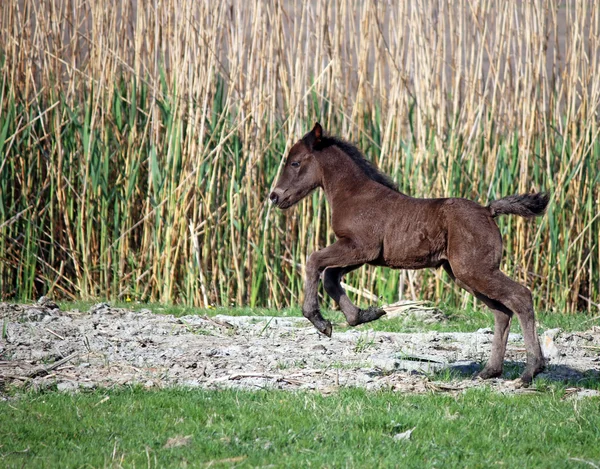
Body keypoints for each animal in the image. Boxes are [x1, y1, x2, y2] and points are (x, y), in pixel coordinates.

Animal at [270, 121, 548, 384]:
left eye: (295, 162)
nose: (274, 196)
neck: (353, 194)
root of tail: (488, 211)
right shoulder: (364, 254)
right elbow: (329, 276)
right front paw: (363, 315)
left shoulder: (360, 247)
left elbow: (314, 261)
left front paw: (319, 320)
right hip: (463, 274)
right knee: (501, 312)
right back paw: (490, 371)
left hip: (475, 270)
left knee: (520, 296)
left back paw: (531, 371)